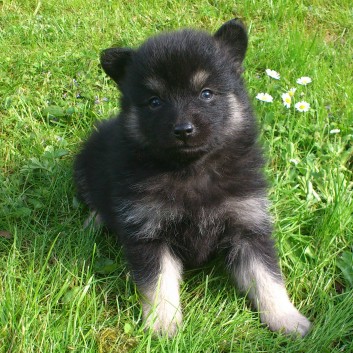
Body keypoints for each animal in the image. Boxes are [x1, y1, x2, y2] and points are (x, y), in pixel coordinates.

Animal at [73, 18, 310, 336]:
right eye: (155, 101)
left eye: (206, 93)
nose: (183, 130)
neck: (191, 169)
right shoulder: (149, 230)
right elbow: (158, 283)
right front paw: (162, 324)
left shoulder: (247, 225)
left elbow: (267, 277)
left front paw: (286, 318)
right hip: (86, 165)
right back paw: (93, 223)